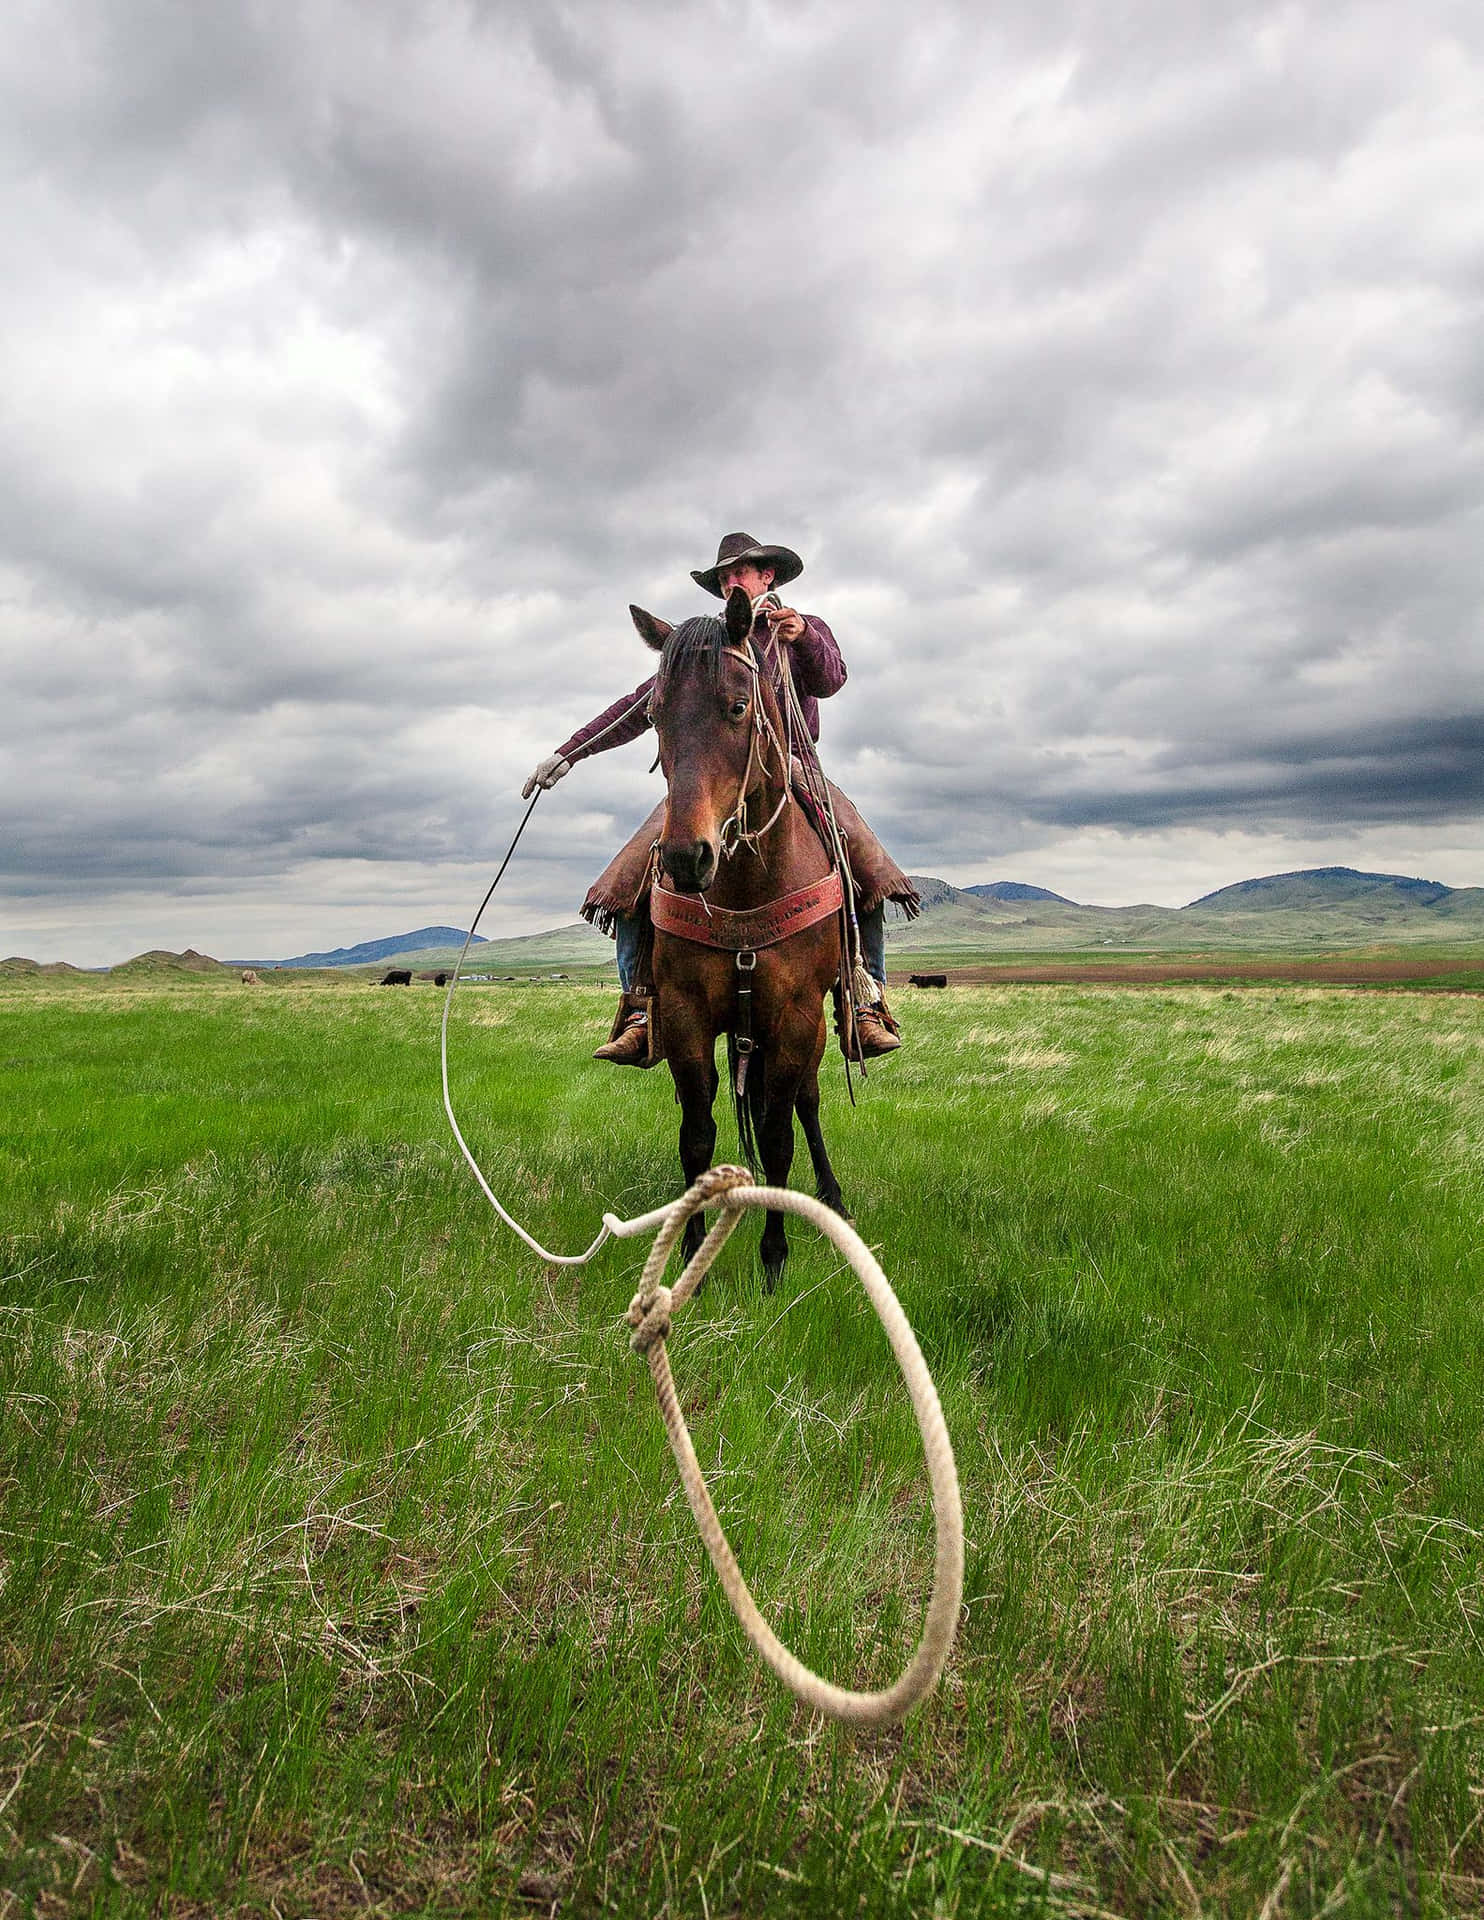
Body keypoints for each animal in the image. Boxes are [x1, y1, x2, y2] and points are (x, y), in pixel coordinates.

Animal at [631, 585, 848, 1284]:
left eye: (738, 706)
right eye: (655, 715)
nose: (686, 857)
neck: (748, 883)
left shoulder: (796, 1015)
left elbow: (779, 1138)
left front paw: (773, 1257)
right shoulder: (685, 1013)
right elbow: (696, 1135)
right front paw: (691, 1252)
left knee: (807, 1102)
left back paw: (832, 1196)